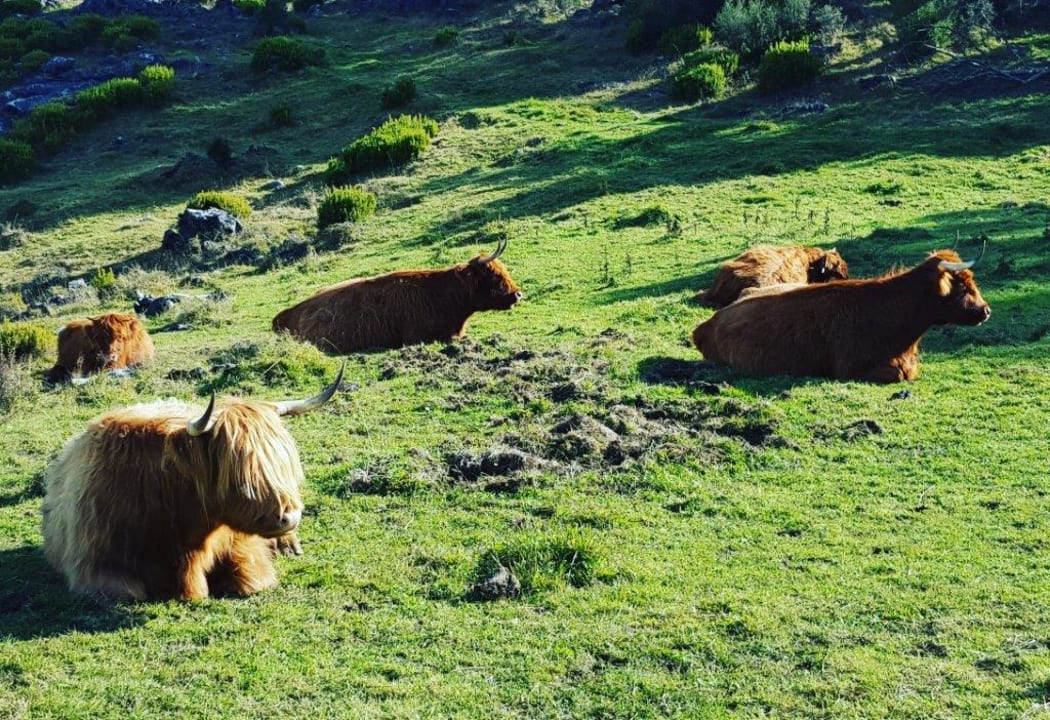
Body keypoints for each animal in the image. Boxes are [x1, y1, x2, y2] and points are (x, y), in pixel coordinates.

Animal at [40, 364, 344, 601]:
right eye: (239, 475)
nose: (289, 517)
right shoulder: (95, 565)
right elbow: (129, 592)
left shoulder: (243, 549)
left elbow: (249, 578)